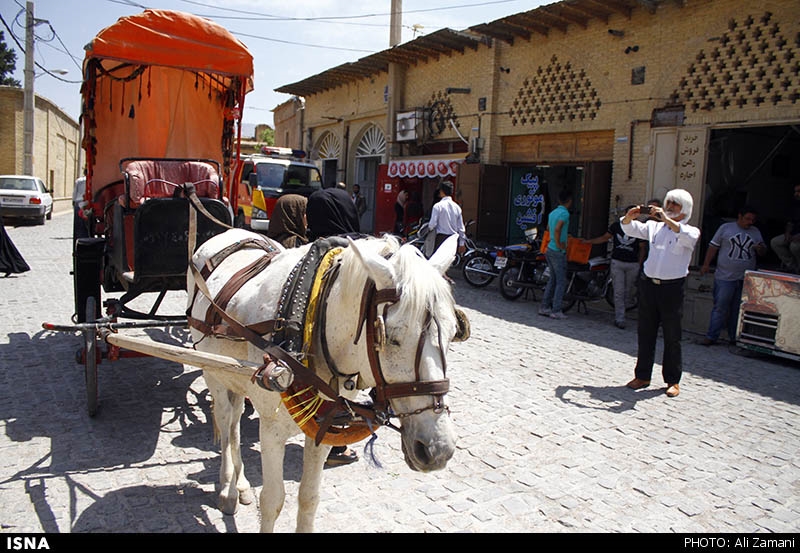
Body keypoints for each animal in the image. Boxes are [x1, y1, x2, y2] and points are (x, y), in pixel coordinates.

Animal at [188, 229, 462, 532]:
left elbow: (309, 498)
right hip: (211, 372)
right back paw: (228, 488)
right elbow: (272, 500)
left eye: (453, 334)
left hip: (235, 376)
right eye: (391, 337)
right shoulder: (271, 429)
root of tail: (230, 232)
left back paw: (241, 484)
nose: (439, 450)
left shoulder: (324, 426)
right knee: (226, 423)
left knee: (235, 420)